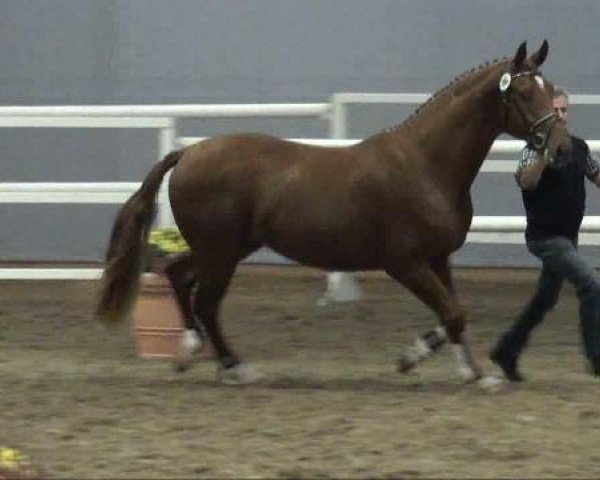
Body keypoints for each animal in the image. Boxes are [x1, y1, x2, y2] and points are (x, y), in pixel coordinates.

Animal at [98, 39, 572, 388]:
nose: (563, 148)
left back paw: (191, 352)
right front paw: (436, 365)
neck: (426, 164)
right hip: (223, 252)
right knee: (205, 299)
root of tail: (188, 153)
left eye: (550, 89)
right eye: (525, 93)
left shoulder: (439, 258)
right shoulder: (405, 263)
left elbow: (453, 314)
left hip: (225, 248)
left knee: (179, 276)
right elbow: (452, 312)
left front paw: (458, 368)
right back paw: (234, 366)